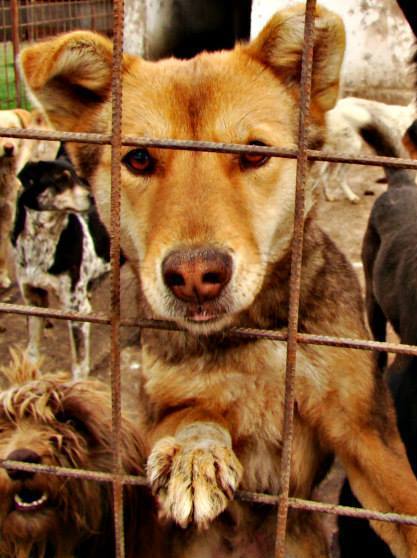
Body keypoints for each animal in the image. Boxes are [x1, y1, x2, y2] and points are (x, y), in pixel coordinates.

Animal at [12, 155, 110, 378]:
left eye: (77, 178)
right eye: (61, 180)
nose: (93, 198)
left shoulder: (77, 310)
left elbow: (79, 366)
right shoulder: (33, 298)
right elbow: (32, 350)